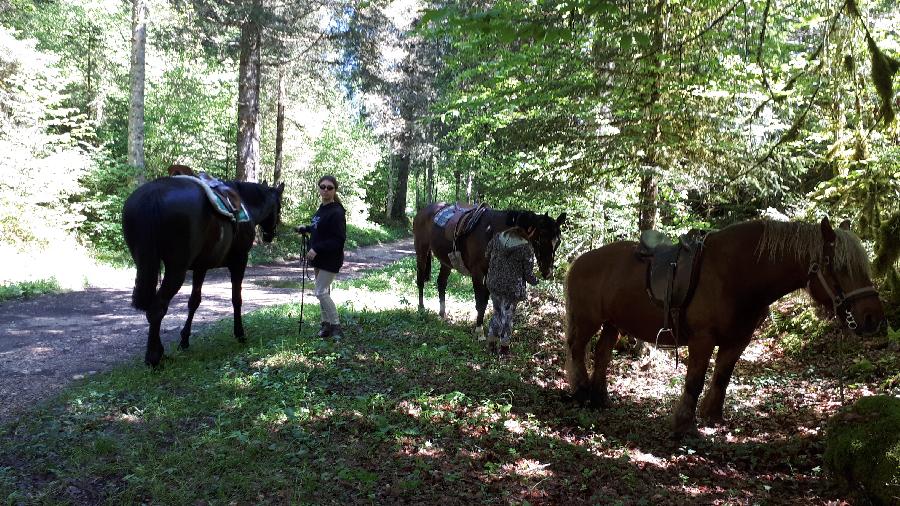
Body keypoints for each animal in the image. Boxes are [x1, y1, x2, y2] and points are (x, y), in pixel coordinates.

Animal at [120, 172, 282, 366]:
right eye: (279, 207)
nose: (269, 236)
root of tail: (153, 194)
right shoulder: (239, 261)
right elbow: (236, 299)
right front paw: (240, 334)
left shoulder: (201, 267)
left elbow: (194, 302)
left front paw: (184, 340)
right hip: (176, 270)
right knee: (157, 308)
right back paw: (154, 357)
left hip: (146, 264)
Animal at [414, 202, 568, 336]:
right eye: (540, 239)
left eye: (558, 241)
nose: (547, 272)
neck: (492, 231)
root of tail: (424, 210)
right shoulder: (477, 273)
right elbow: (480, 302)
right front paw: (479, 330)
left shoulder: (489, 272)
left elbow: (486, 301)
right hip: (421, 251)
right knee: (420, 279)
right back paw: (421, 309)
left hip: (446, 261)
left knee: (441, 283)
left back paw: (442, 315)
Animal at [568, 219, 884, 436]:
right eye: (840, 267)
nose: (873, 318)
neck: (736, 274)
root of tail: (580, 260)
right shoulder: (702, 339)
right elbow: (694, 382)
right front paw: (684, 425)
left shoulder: (737, 340)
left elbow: (722, 377)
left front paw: (713, 417)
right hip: (587, 320)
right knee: (576, 349)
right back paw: (582, 392)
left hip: (613, 324)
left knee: (602, 353)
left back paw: (599, 397)